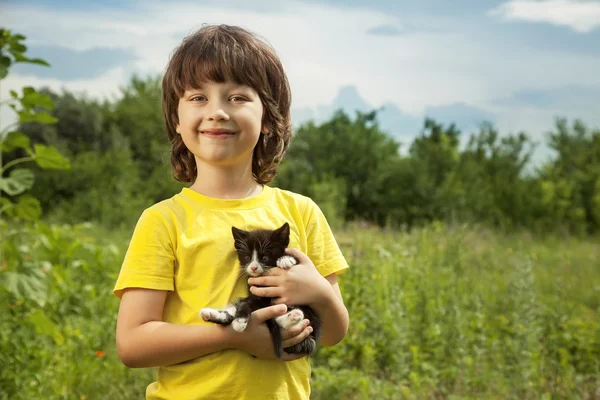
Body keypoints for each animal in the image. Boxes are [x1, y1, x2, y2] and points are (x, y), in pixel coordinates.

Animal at [199, 223, 322, 358]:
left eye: (265, 257)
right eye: (247, 257)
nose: (253, 267)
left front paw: (285, 259)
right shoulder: (256, 294)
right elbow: (246, 303)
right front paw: (240, 320)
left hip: (310, 317)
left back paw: (294, 315)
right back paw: (211, 314)